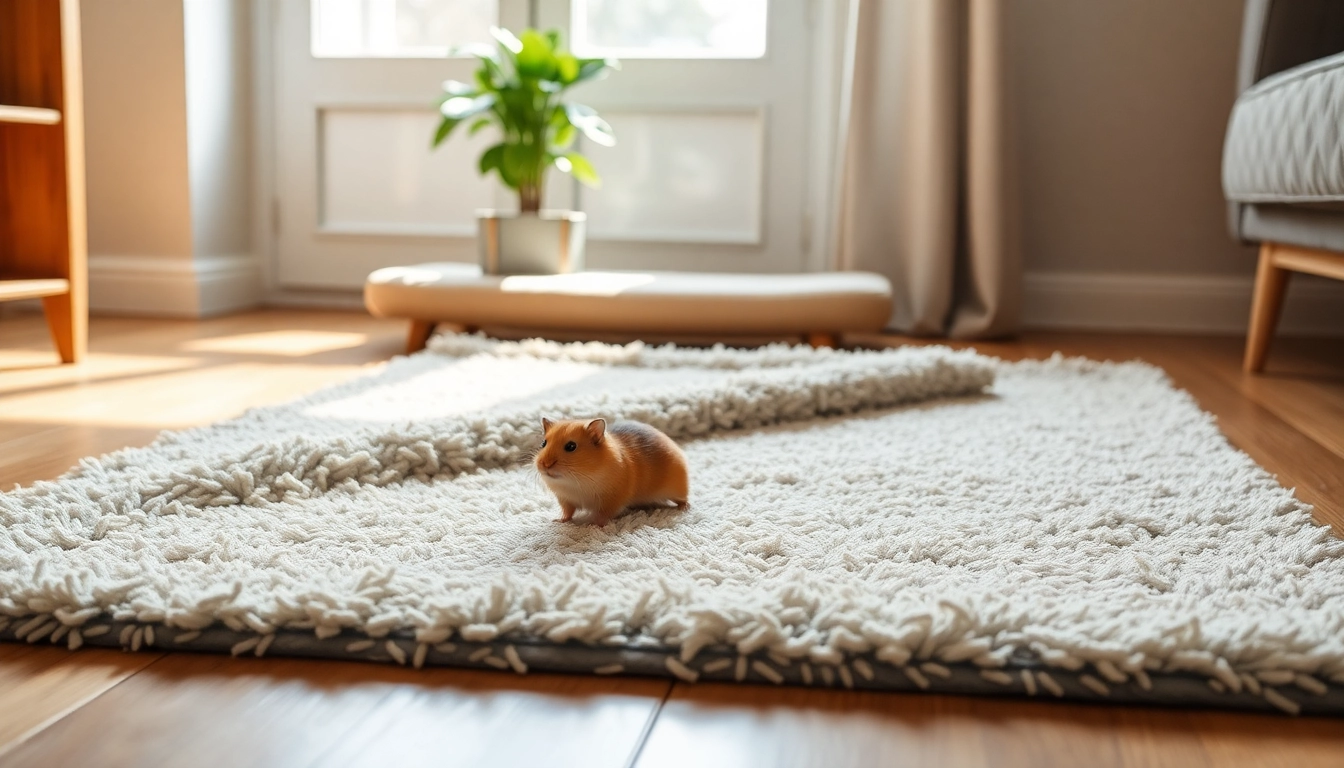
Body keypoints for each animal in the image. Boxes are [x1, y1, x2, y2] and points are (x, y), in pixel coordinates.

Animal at [534, 417, 689, 526]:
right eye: (543, 443)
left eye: (571, 446)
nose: (545, 464)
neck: (577, 480)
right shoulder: (566, 500)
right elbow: (568, 513)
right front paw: (558, 521)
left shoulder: (611, 501)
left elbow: (602, 516)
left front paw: (592, 525)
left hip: (677, 489)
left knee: (684, 500)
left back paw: (684, 508)